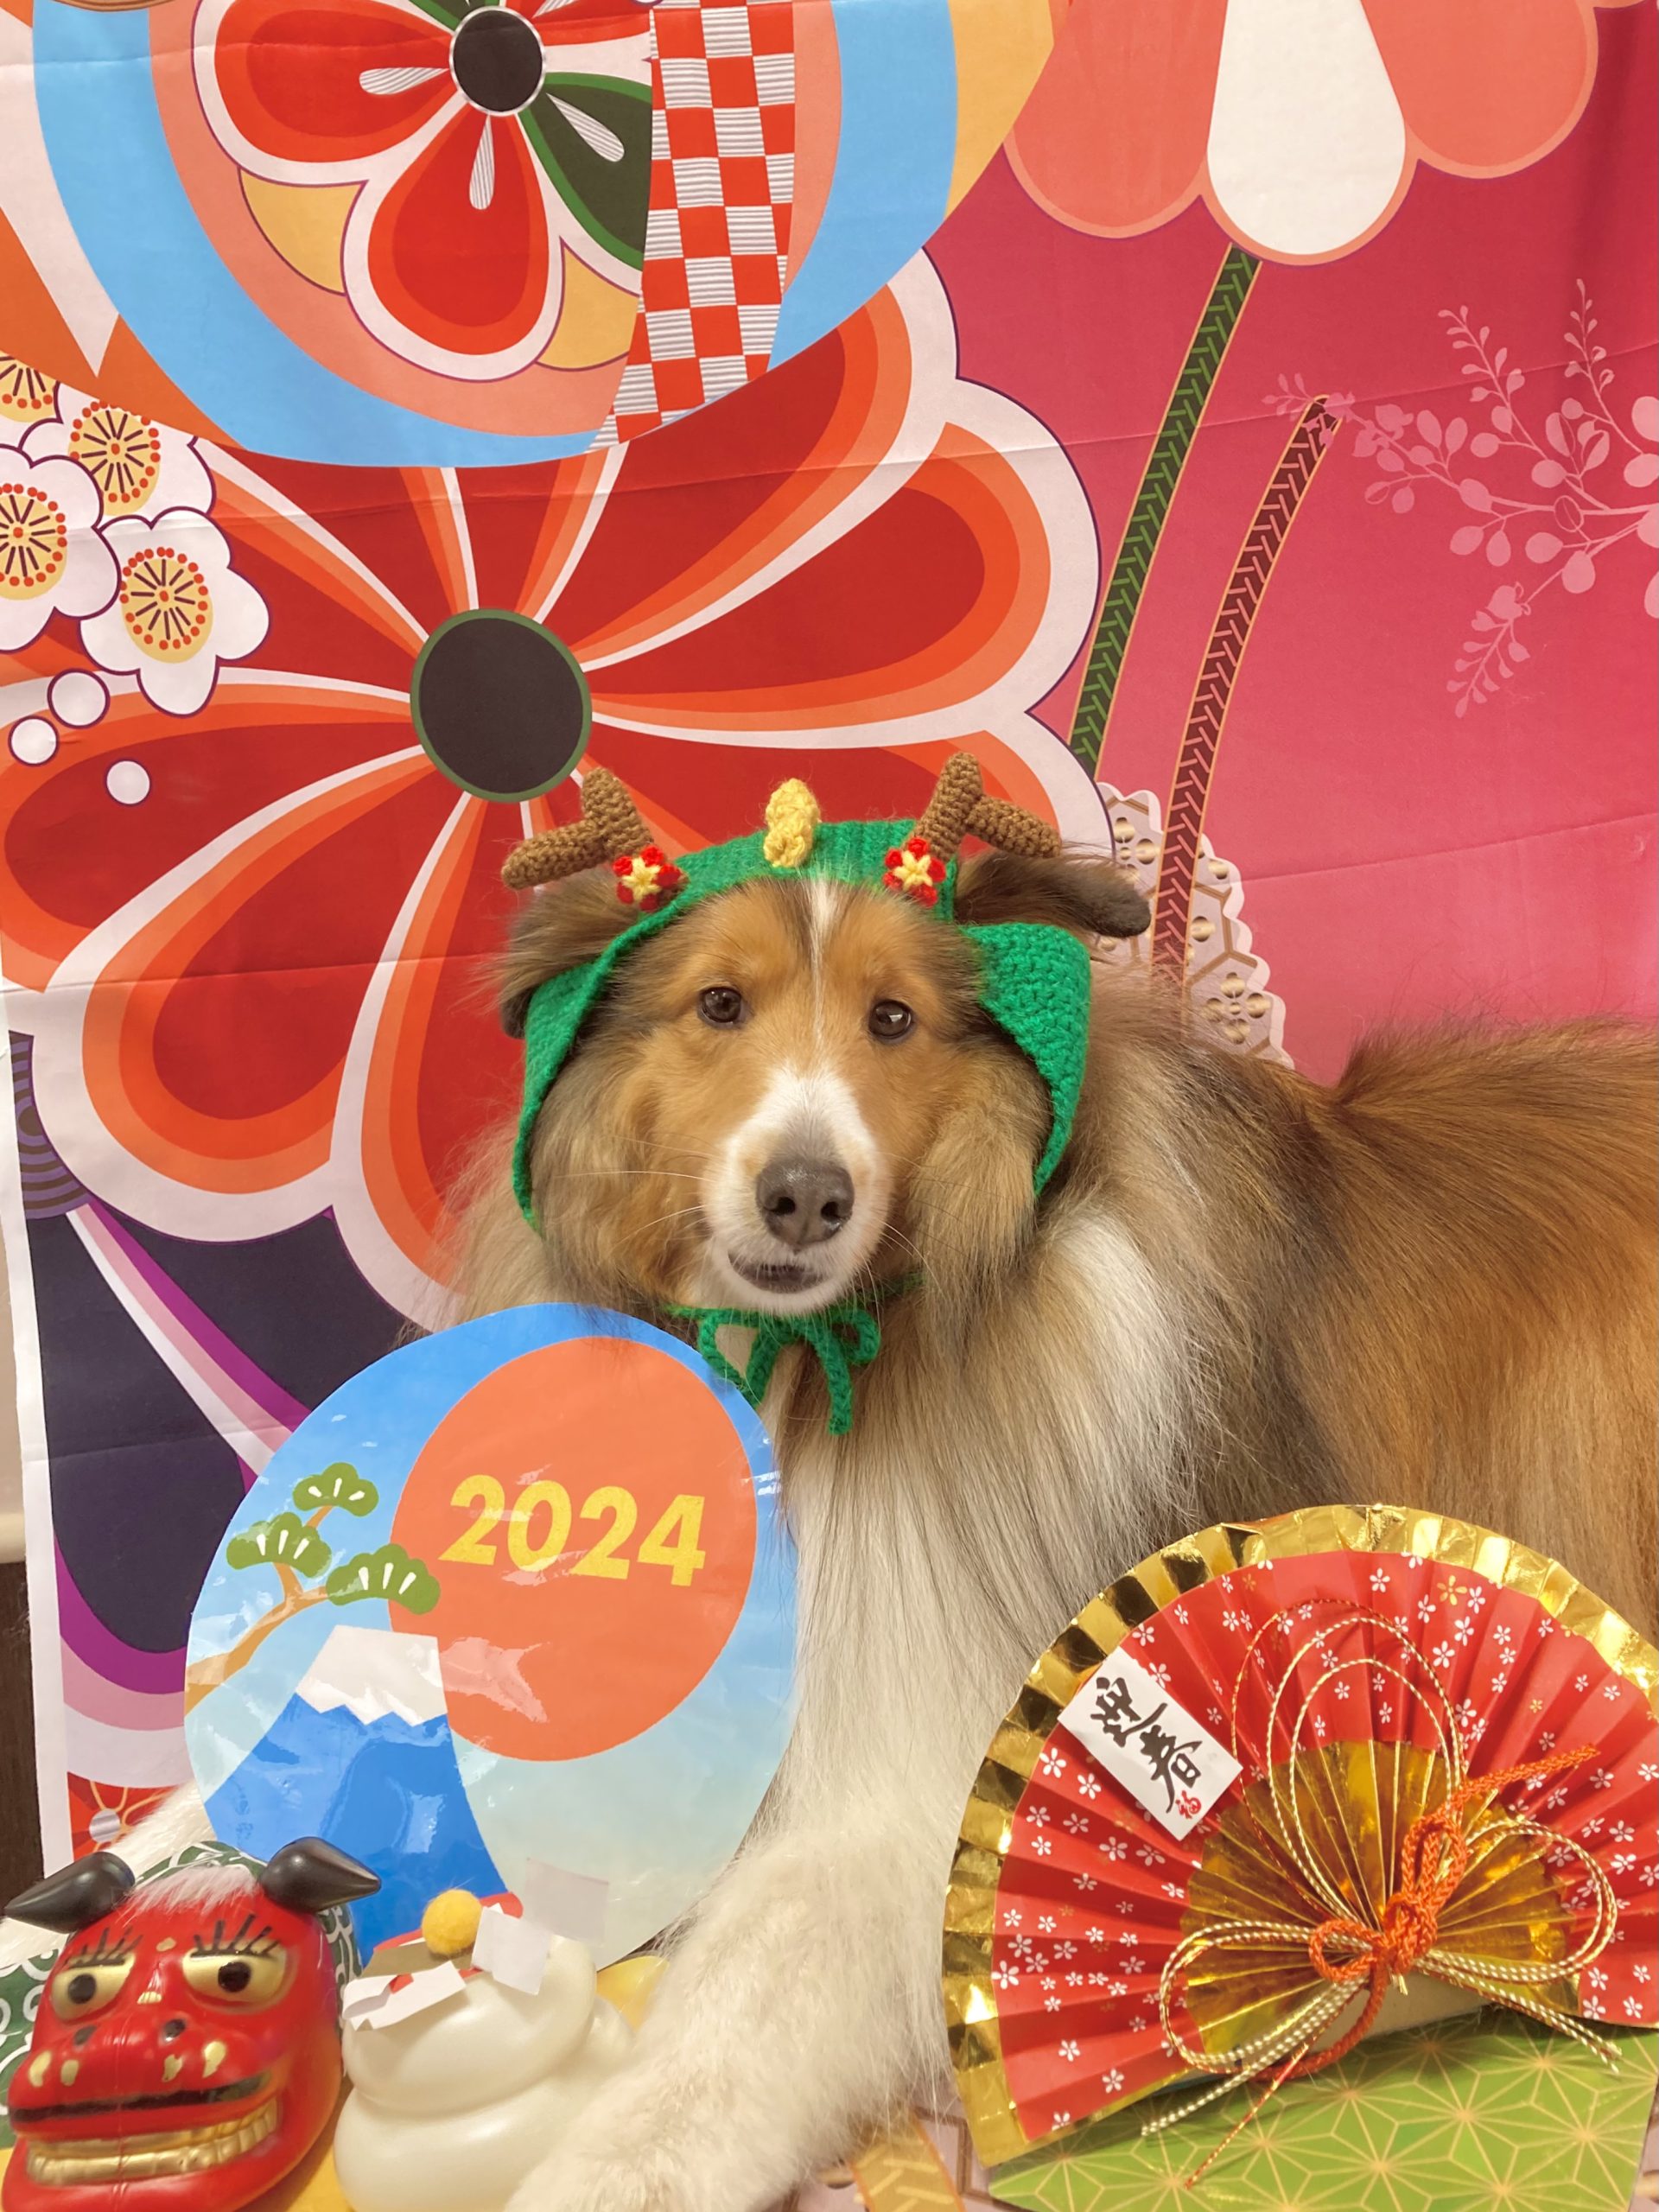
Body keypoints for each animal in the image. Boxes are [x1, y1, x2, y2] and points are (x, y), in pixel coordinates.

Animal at [442, 764, 1657, 2212]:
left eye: (894, 1018)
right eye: (718, 1004)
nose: (805, 1197)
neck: (822, 1363)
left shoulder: (937, 1774)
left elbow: (746, 1989)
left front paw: (615, 2162)